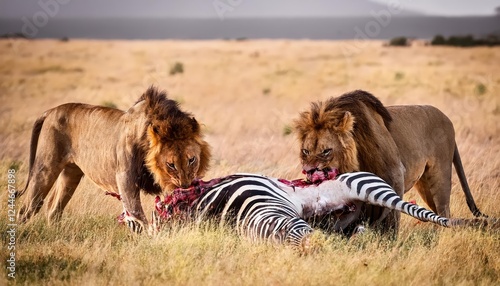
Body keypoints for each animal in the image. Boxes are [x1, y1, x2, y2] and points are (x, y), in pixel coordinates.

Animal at [16, 86, 210, 231]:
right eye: (171, 164)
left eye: (192, 160)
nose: (185, 185)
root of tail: (50, 111)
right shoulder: (124, 177)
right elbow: (136, 213)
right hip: (45, 168)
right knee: (27, 208)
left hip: (71, 173)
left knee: (54, 209)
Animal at [294, 90, 486, 236]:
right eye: (306, 151)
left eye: (326, 151)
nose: (309, 171)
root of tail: (447, 118)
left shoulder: (395, 176)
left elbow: (391, 218)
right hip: (425, 186)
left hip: (440, 176)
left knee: (444, 211)